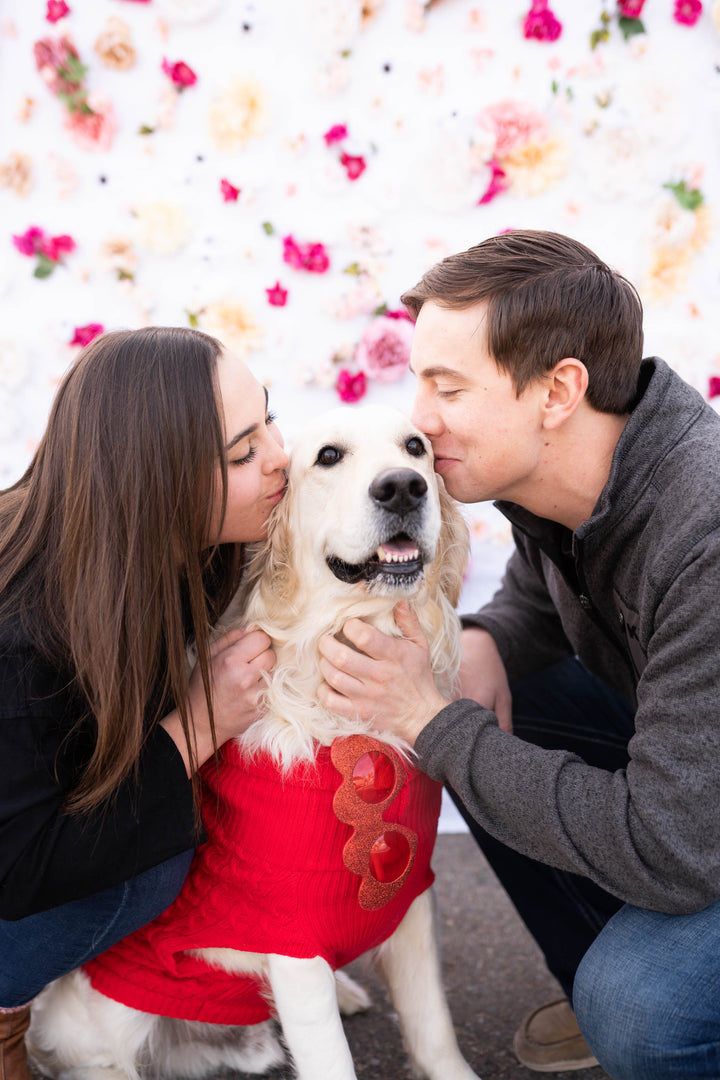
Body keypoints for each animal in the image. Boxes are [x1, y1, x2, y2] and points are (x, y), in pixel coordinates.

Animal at [28, 406, 479, 1080]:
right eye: (328, 456)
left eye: (417, 447)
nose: (403, 487)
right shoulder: (287, 936)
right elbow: (330, 1057)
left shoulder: (411, 896)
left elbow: (435, 1031)